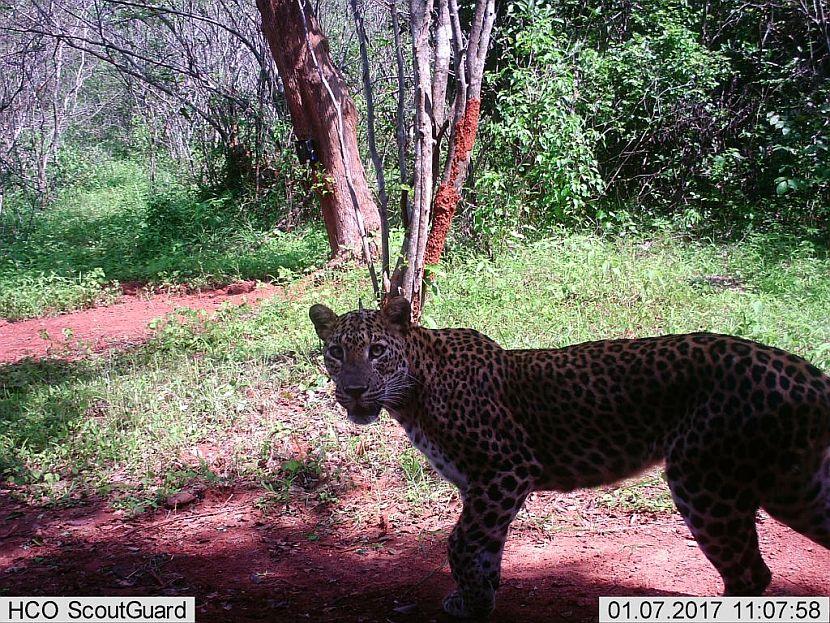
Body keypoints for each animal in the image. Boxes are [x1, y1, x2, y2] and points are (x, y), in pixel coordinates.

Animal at [308, 298, 828, 620]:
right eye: (335, 352)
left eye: (377, 351)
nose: (353, 390)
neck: (413, 391)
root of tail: (803, 370)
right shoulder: (486, 486)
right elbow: (485, 545)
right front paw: (481, 597)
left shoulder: (505, 470)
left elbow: (460, 541)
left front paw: (471, 599)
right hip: (795, 486)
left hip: (705, 484)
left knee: (749, 572)